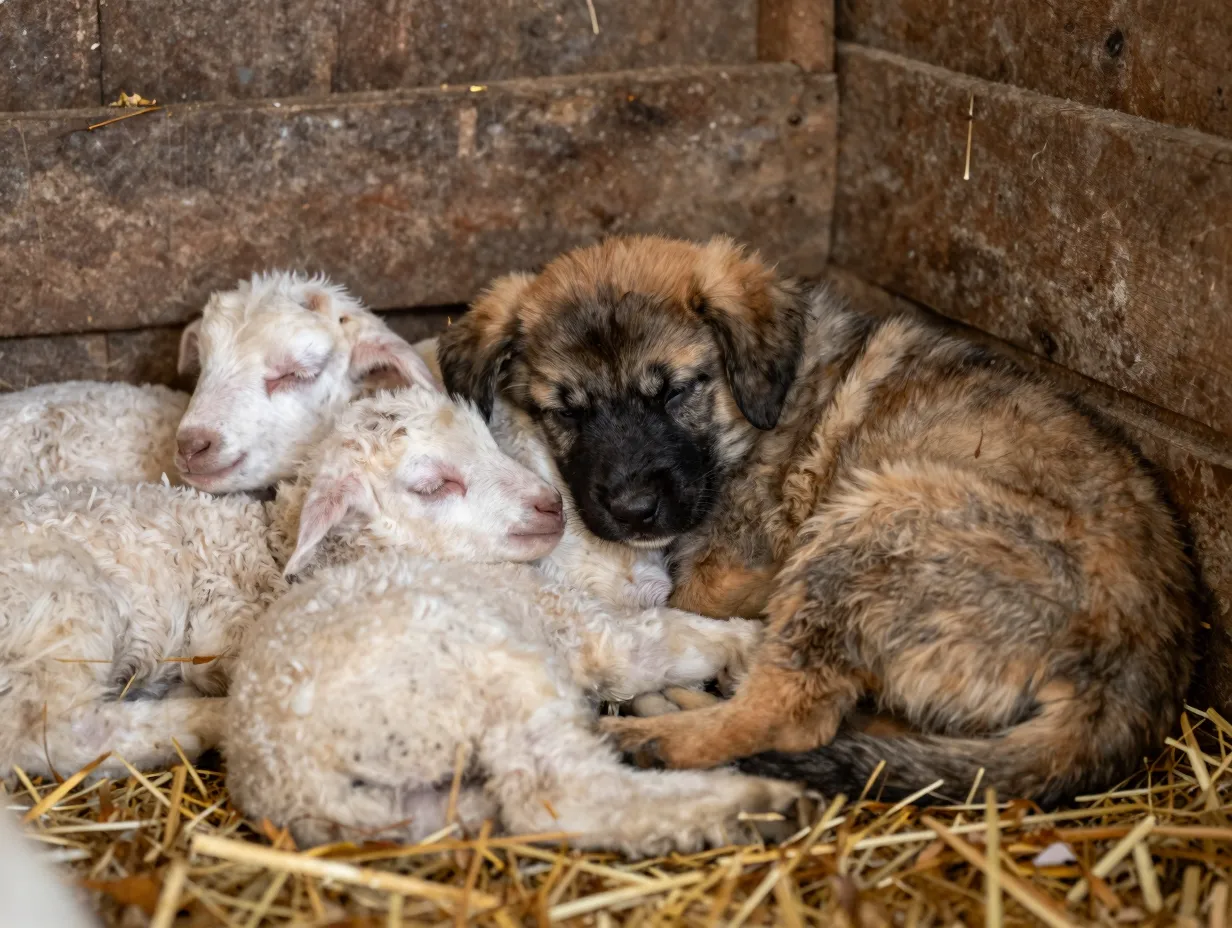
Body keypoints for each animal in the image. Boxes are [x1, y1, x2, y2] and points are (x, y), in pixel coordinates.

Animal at [0, 387, 561, 782]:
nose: (552, 505)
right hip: (63, 601)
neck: (273, 551)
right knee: (47, 732)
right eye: (432, 485)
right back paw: (205, 718)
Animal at [225, 485, 795, 857]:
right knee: (557, 797)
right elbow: (672, 639)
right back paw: (759, 804)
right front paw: (756, 647)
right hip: (496, 676)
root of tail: (292, 777)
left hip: (416, 808)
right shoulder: (593, 634)